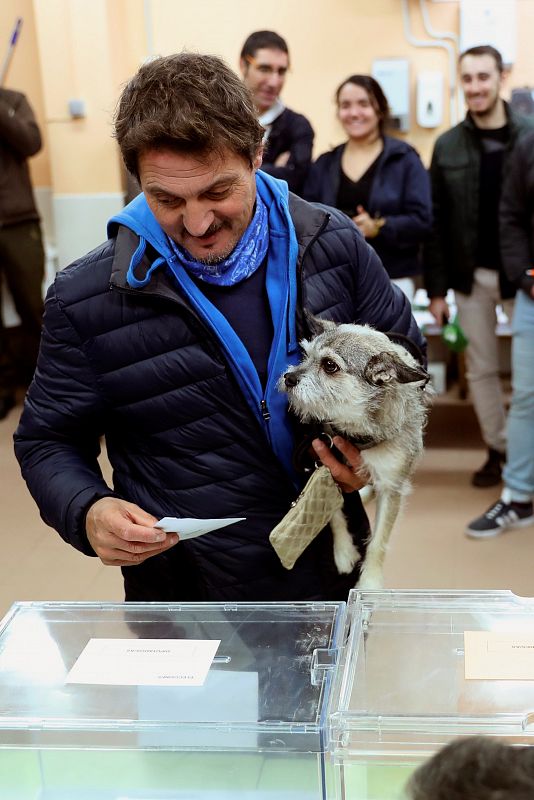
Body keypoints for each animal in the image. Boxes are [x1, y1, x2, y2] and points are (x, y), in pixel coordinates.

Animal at [282, 318, 434, 588]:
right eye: (306, 356)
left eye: (329, 365)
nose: (289, 377)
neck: (355, 429)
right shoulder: (326, 465)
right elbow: (333, 512)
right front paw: (343, 552)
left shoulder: (391, 487)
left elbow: (379, 541)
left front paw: (369, 582)